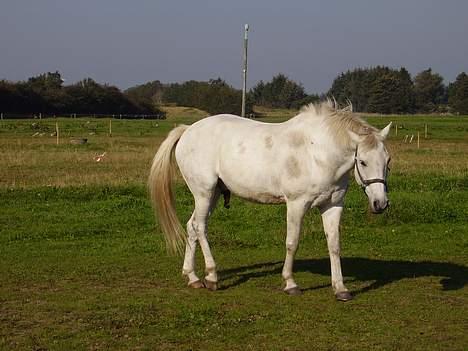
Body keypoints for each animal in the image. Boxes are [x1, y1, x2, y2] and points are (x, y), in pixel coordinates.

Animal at [149, 102, 392, 302]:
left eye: (388, 161)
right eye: (363, 161)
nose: (380, 203)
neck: (317, 152)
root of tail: (188, 130)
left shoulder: (333, 206)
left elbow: (334, 245)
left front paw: (340, 288)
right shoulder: (296, 204)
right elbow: (292, 243)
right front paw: (290, 283)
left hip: (213, 194)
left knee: (192, 227)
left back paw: (192, 277)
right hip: (204, 192)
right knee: (200, 228)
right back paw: (211, 276)